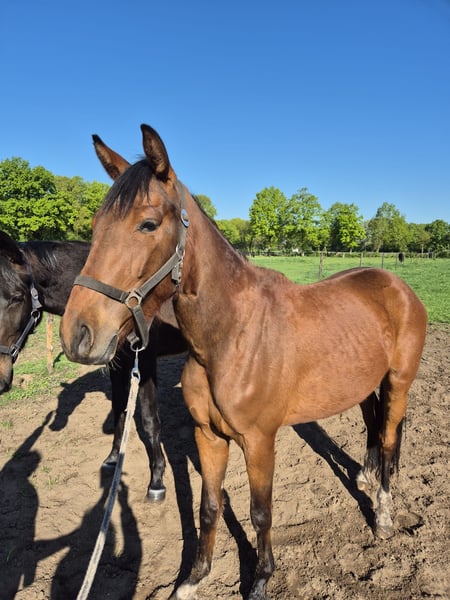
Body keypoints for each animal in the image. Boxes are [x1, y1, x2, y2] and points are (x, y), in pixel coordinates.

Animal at [0, 230, 187, 501]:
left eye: (16, 297)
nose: (0, 379)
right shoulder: (119, 365)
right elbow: (119, 410)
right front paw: (113, 458)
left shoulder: (145, 363)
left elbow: (150, 421)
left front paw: (157, 481)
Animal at [60, 125, 427, 600]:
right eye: (95, 226)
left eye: (148, 224)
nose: (78, 334)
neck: (230, 338)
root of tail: (396, 285)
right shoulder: (209, 437)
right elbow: (209, 507)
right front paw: (193, 578)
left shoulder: (259, 441)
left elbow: (260, 512)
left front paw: (261, 579)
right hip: (363, 381)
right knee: (372, 424)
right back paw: (363, 476)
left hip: (398, 382)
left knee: (388, 437)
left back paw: (382, 514)